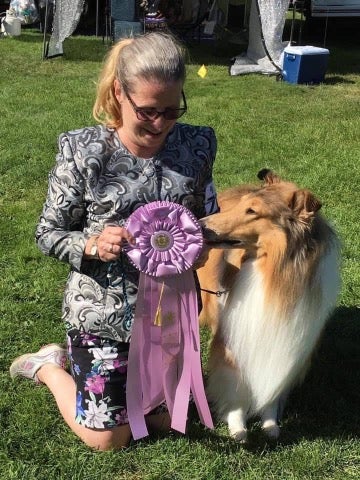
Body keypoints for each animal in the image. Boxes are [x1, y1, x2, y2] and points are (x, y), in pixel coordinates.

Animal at [197, 170, 340, 442]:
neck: (271, 273)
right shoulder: (231, 337)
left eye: (252, 211)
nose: (200, 224)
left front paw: (270, 422)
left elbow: (273, 383)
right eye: (244, 206)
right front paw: (237, 426)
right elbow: (234, 385)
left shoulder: (288, 340)